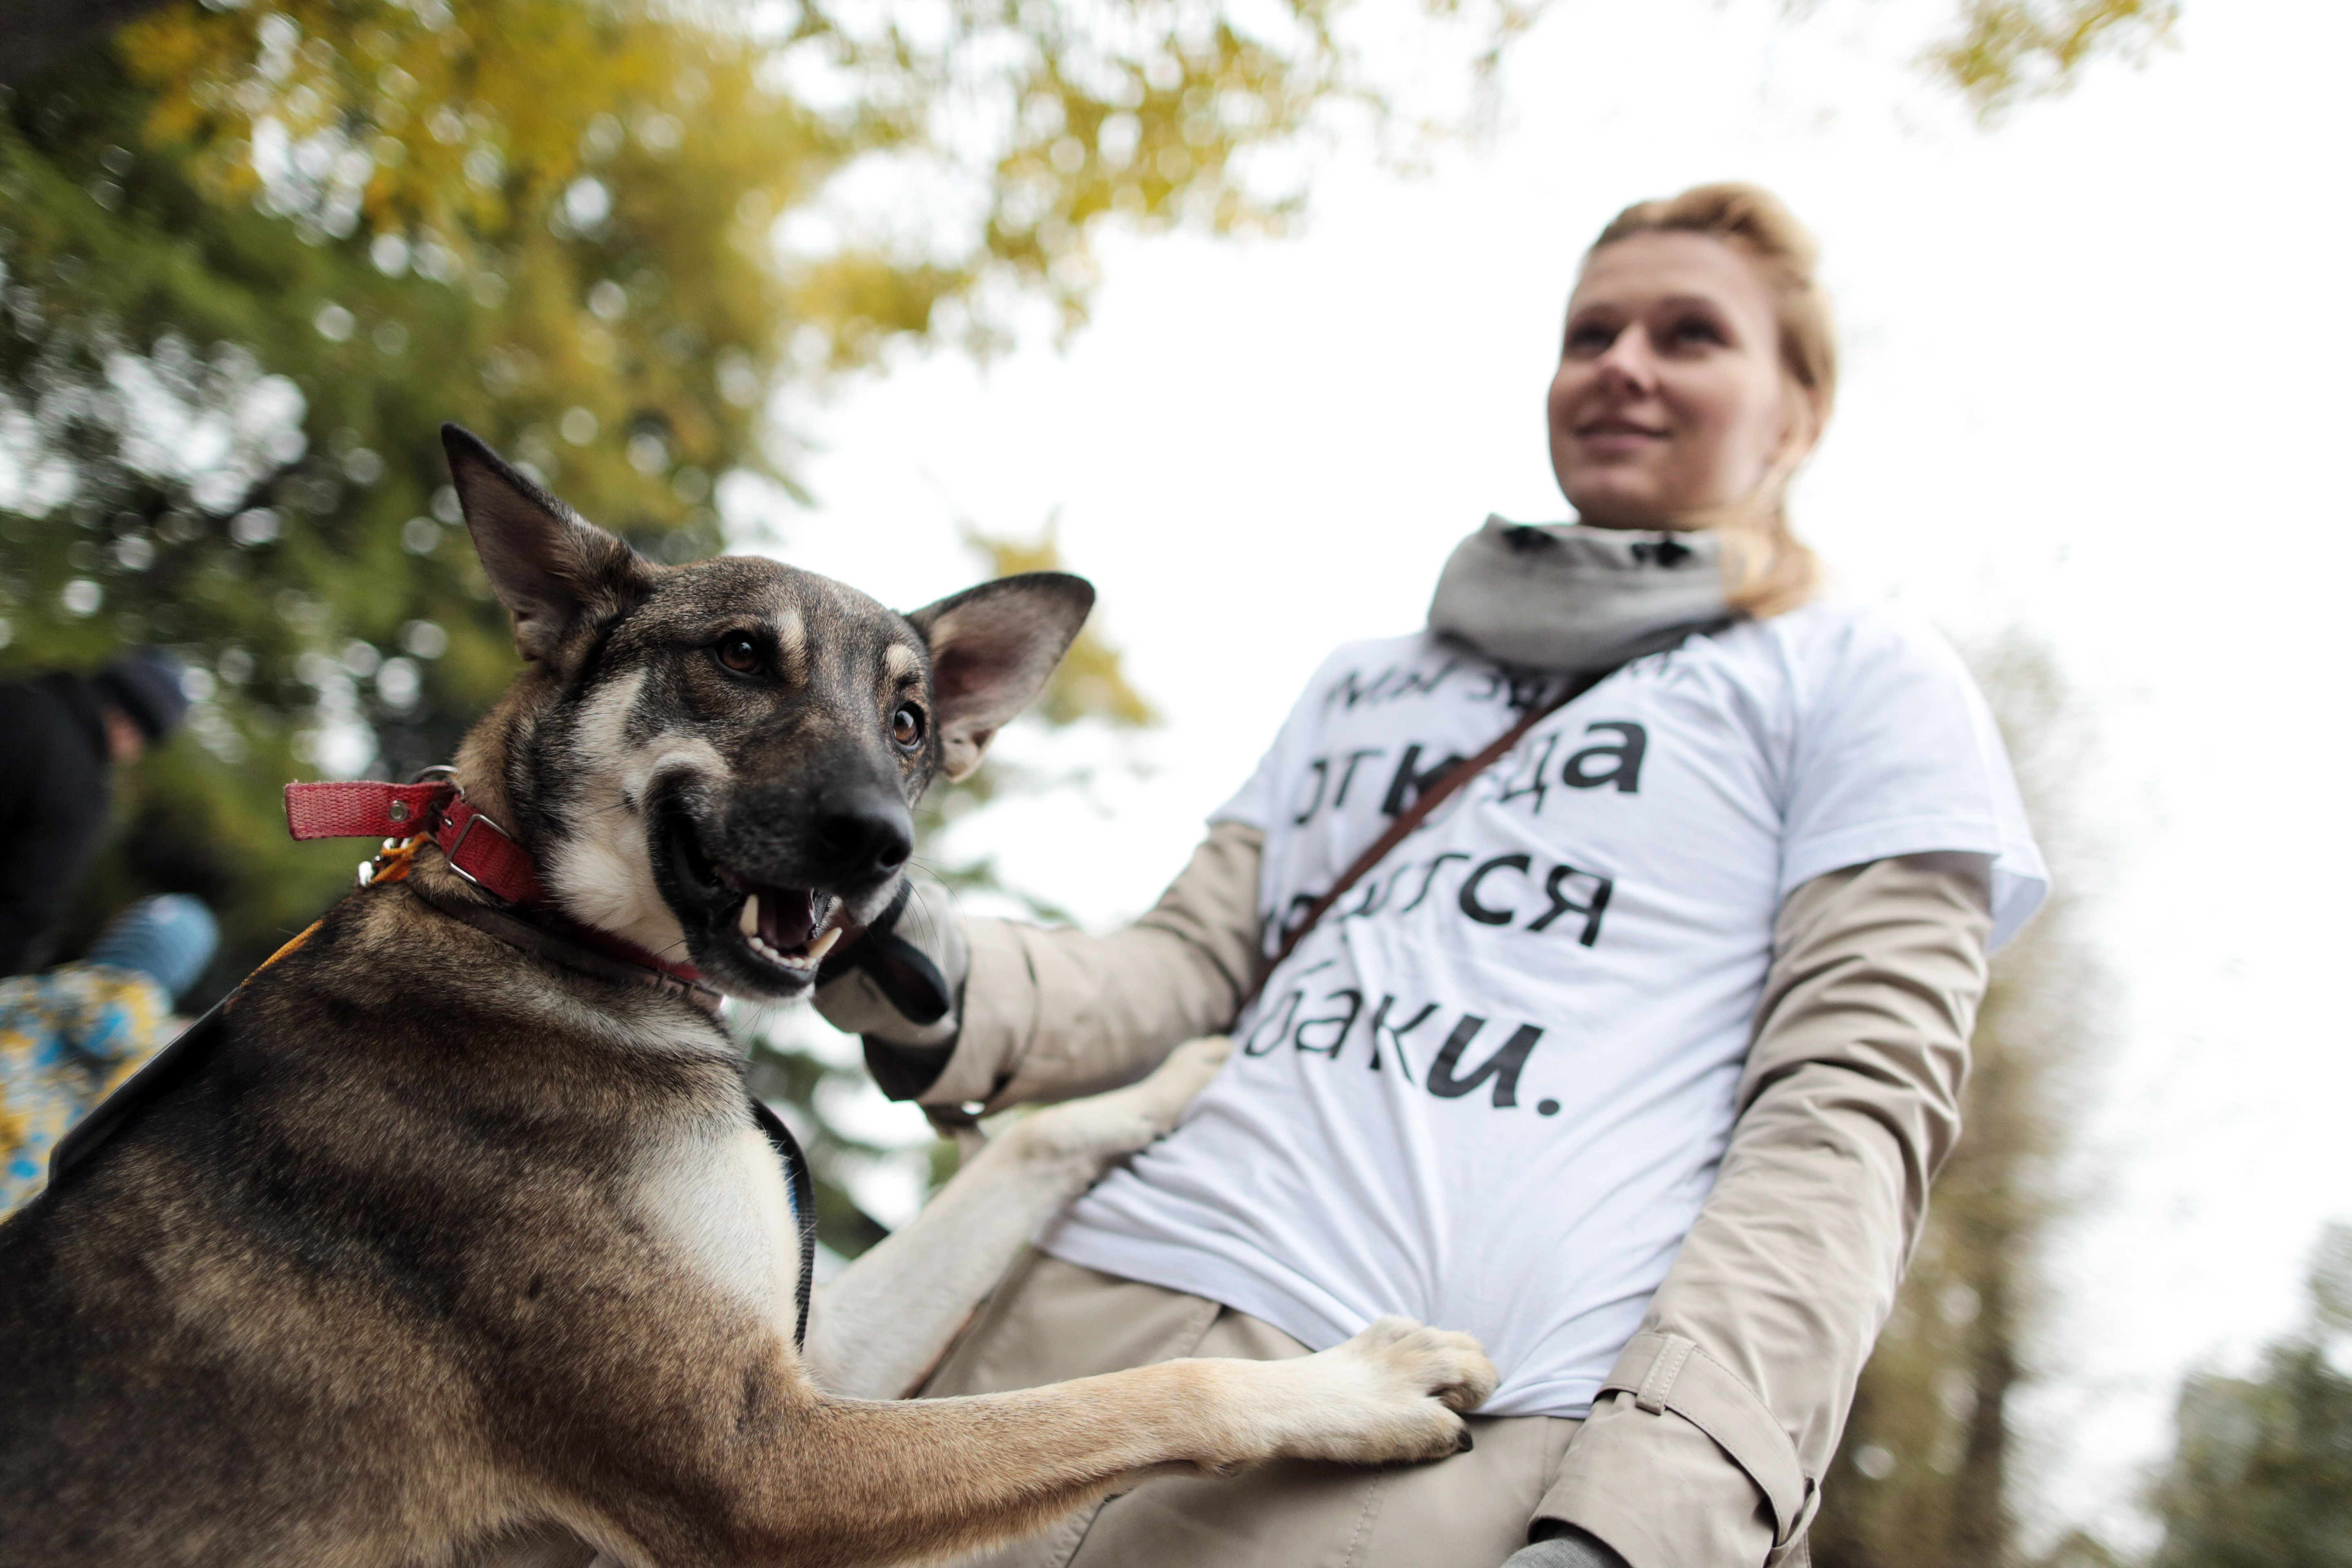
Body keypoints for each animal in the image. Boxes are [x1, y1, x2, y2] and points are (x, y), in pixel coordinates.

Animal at [0, 430, 1496, 1568]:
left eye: (910, 722)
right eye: (735, 657)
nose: (879, 848)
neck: (546, 935)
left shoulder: (811, 1363)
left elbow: (1030, 1150)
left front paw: (1180, 1072)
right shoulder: (760, 1461)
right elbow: (1149, 1388)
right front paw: (1358, 1387)